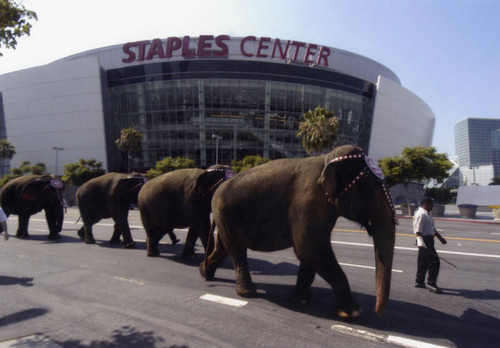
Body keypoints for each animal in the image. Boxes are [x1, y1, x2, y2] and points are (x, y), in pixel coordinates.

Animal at [199, 145, 398, 320]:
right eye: (370, 188)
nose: (377, 313)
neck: (326, 159)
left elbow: (311, 251)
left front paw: (303, 300)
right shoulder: (307, 201)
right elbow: (309, 248)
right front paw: (353, 313)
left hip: (225, 217)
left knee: (224, 246)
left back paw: (205, 273)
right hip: (225, 212)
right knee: (237, 249)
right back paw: (247, 293)